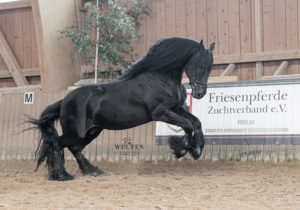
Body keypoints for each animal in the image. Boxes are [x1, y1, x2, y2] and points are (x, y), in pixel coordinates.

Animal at [29, 37, 214, 180]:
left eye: (210, 67)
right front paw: (183, 149)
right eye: (200, 64)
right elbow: (188, 125)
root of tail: (64, 100)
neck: (160, 78)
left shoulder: (176, 109)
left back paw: (92, 171)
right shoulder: (161, 113)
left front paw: (196, 149)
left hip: (93, 130)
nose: (199, 93)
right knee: (56, 144)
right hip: (75, 132)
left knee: (74, 148)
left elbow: (196, 123)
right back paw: (61, 175)